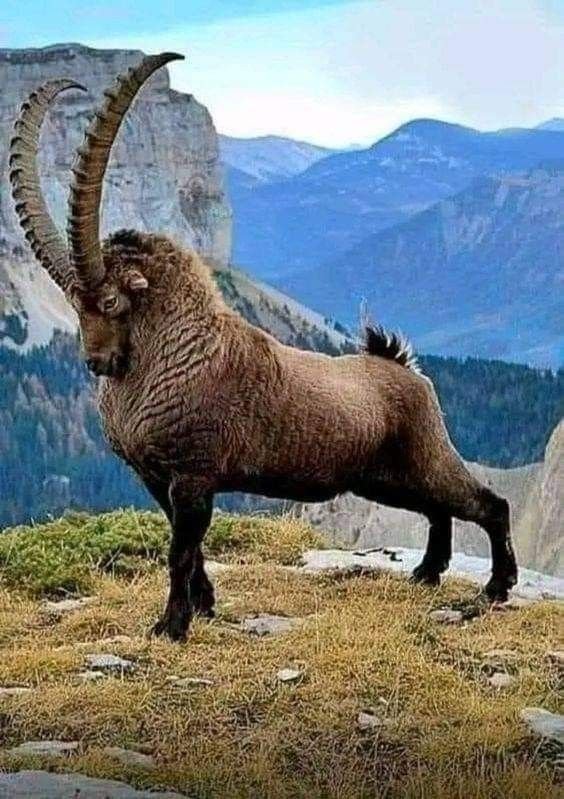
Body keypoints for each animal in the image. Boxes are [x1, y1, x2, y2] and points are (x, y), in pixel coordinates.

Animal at [9, 54, 518, 641]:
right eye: (73, 303)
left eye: (111, 300)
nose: (98, 362)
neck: (176, 356)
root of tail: (405, 370)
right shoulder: (157, 480)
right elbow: (191, 551)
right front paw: (204, 606)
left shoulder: (193, 476)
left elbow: (180, 552)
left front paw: (171, 627)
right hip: (384, 479)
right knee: (438, 509)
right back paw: (428, 572)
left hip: (423, 458)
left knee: (487, 503)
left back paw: (498, 585)